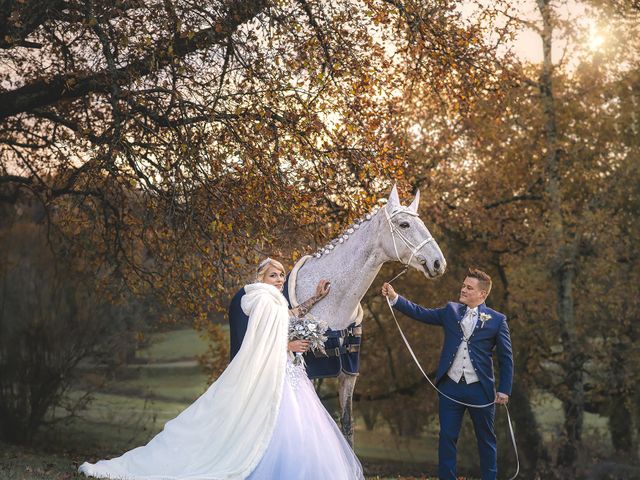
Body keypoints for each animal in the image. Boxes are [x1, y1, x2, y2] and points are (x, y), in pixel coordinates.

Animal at [290, 182, 444, 444]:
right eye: (404, 224)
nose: (438, 263)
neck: (333, 300)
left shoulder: (348, 373)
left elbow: (347, 424)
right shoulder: (311, 371)